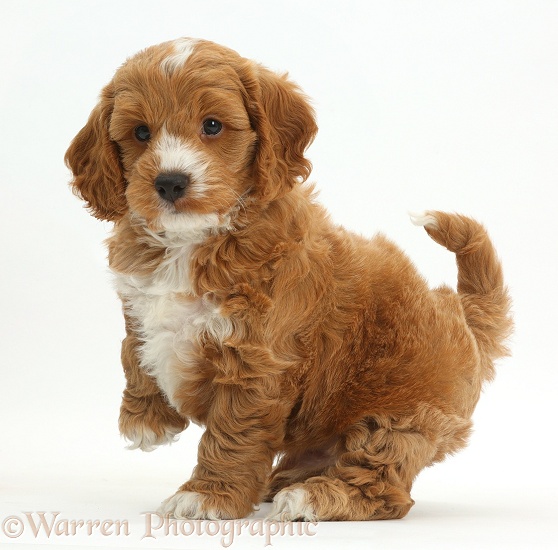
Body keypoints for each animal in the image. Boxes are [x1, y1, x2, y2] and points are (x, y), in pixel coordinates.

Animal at [64, 38, 512, 520]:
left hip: (401, 418)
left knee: (385, 486)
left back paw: (311, 497)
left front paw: (207, 496)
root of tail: (463, 316)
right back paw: (284, 480)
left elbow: (233, 432)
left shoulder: (257, 362)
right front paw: (146, 421)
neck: (195, 240)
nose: (169, 182)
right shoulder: (139, 304)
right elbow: (132, 349)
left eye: (212, 125)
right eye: (141, 133)